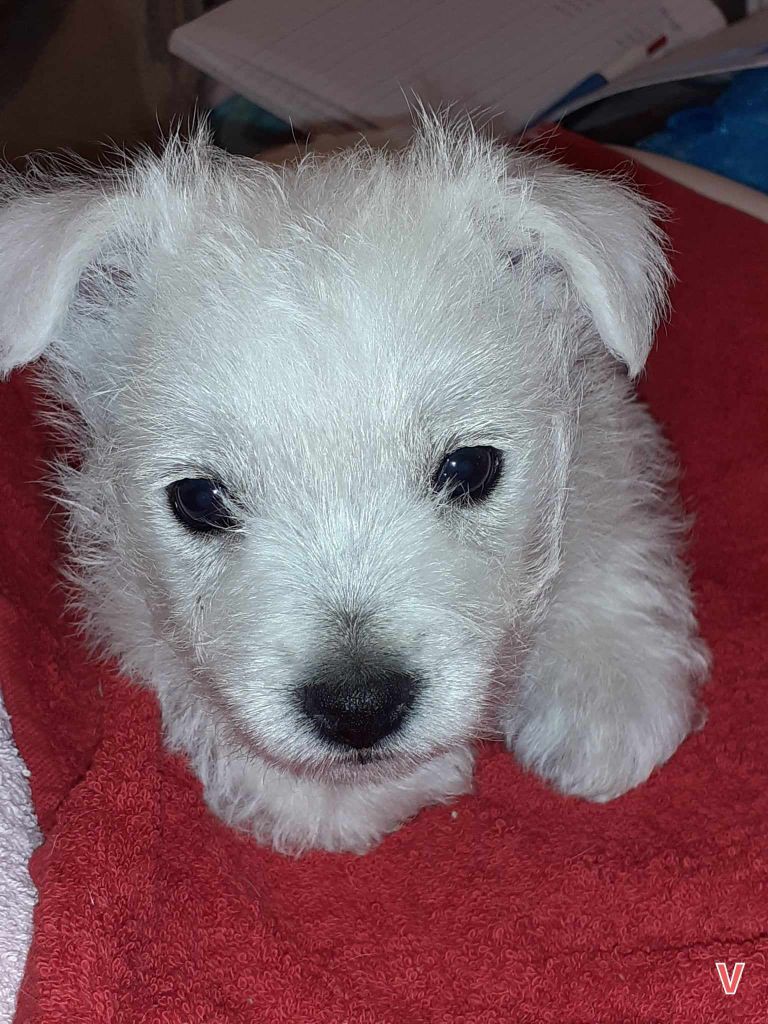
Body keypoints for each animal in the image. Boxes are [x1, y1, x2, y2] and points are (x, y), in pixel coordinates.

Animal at [0, 117, 709, 853]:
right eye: (196, 500)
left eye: (470, 468)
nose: (358, 708)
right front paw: (332, 797)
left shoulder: (602, 416)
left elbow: (603, 520)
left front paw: (608, 687)